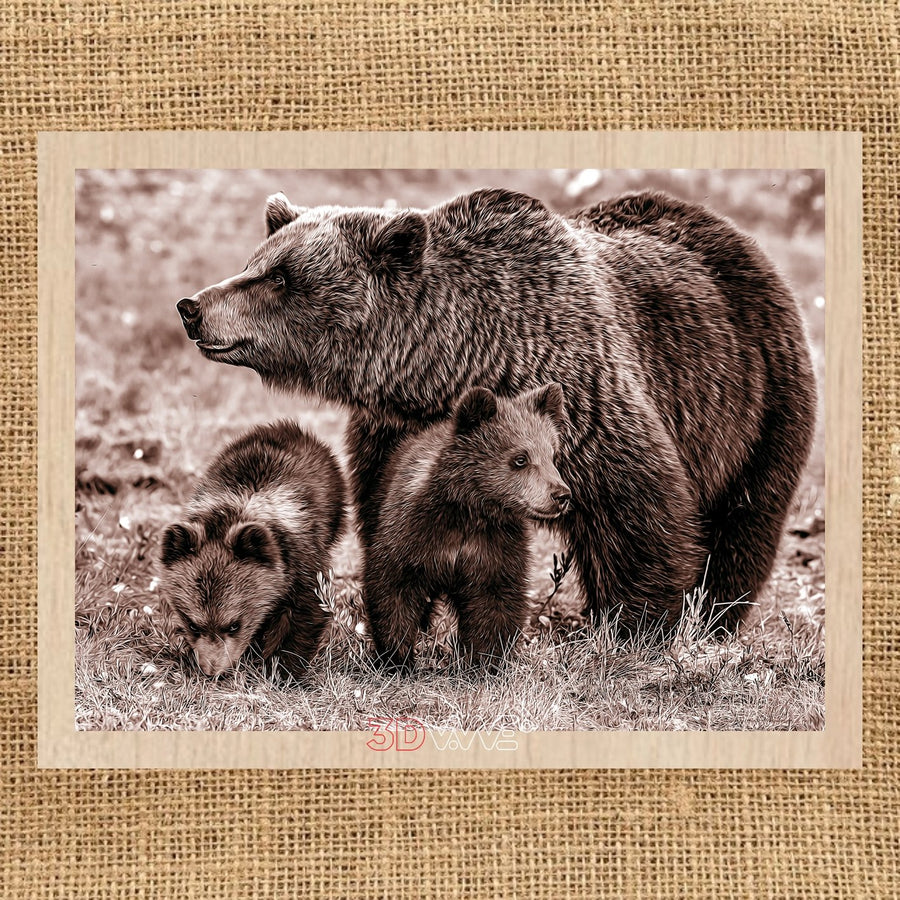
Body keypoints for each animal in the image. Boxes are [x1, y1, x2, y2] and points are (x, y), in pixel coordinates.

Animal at [159, 420, 345, 678]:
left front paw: (281, 669)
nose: (212, 669)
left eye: (234, 624)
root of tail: (288, 427)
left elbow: (305, 611)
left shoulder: (301, 562)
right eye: (193, 624)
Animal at [176, 186, 816, 637]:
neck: (453, 363)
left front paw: (638, 627)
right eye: (255, 262)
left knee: (745, 521)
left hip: (758, 398)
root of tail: (732, 233)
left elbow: (639, 507)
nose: (192, 306)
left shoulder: (583, 396)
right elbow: (392, 522)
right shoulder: (391, 434)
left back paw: (715, 619)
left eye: (281, 278)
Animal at [364, 382, 570, 669]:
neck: (470, 510)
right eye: (520, 458)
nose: (561, 495)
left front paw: (485, 660)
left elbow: (495, 600)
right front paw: (398, 658)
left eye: (552, 455)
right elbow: (393, 587)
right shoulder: (414, 536)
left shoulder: (495, 545)